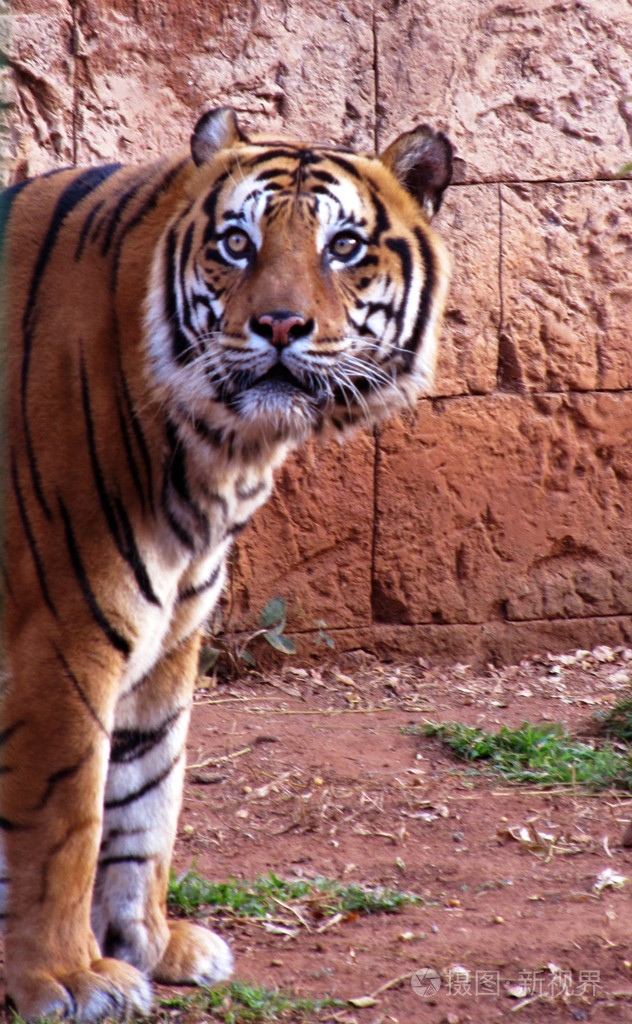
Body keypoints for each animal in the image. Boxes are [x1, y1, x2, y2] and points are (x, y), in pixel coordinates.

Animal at [0, 105, 452, 1021]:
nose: (279, 326)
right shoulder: (59, 634)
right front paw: (64, 977)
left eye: (343, 247)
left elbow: (145, 797)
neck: (218, 452)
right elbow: (67, 816)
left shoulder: (170, 632)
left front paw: (147, 943)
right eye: (237, 244)